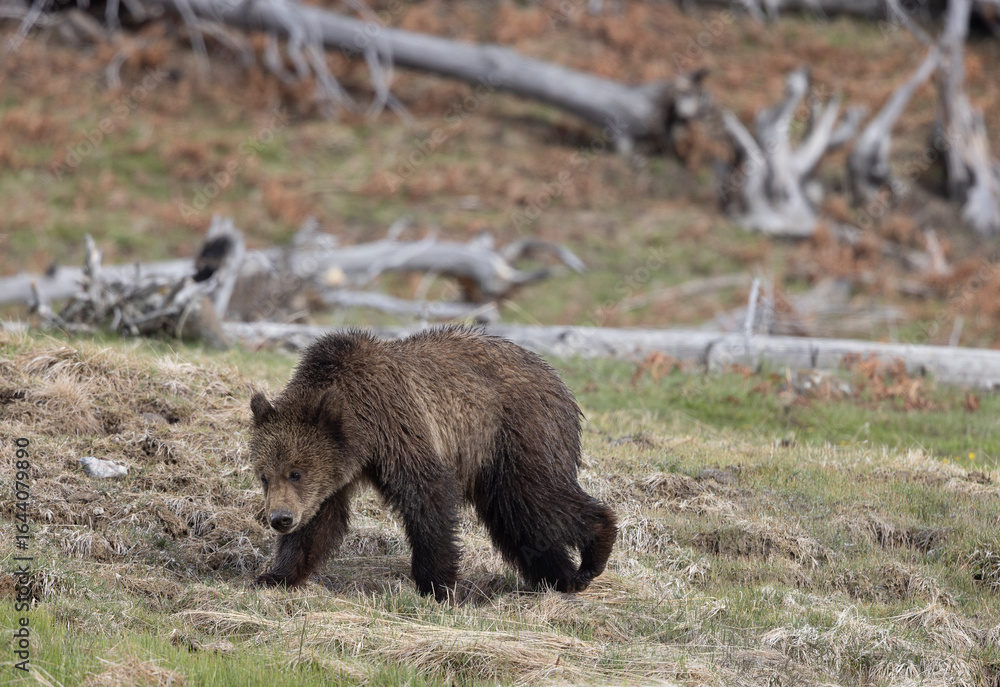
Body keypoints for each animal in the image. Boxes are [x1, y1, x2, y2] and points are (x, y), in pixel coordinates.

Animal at [249, 326, 617, 601]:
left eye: (296, 473)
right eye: (264, 476)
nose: (280, 519)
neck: (361, 427)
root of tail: (557, 378)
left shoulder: (398, 424)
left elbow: (428, 498)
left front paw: (438, 585)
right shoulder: (336, 473)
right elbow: (318, 523)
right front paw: (275, 575)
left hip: (518, 434)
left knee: (536, 498)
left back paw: (593, 553)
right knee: (517, 519)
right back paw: (560, 577)